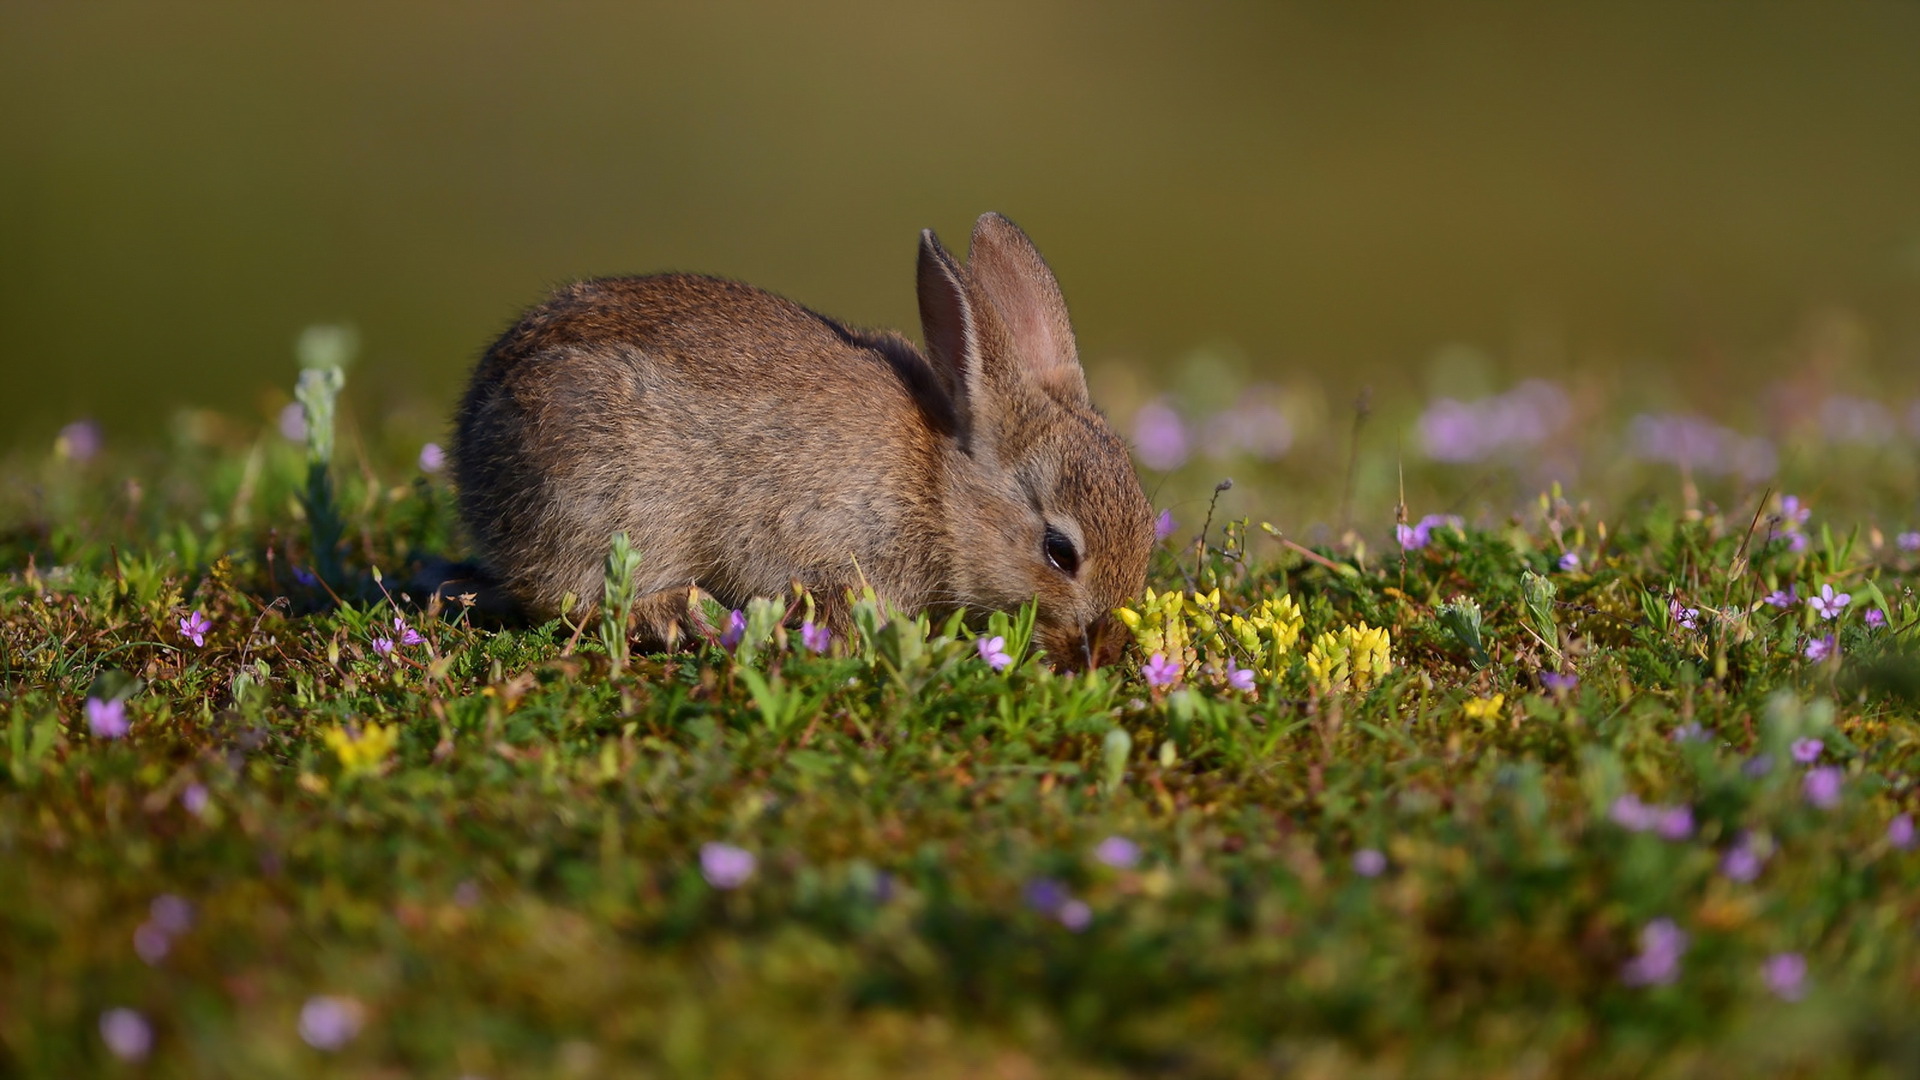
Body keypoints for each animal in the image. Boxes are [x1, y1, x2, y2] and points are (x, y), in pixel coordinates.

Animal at [445, 210, 1152, 664]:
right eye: (1060, 552)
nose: (1101, 652)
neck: (939, 489)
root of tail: (471, 446)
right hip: (596, 494)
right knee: (562, 599)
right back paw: (672, 614)